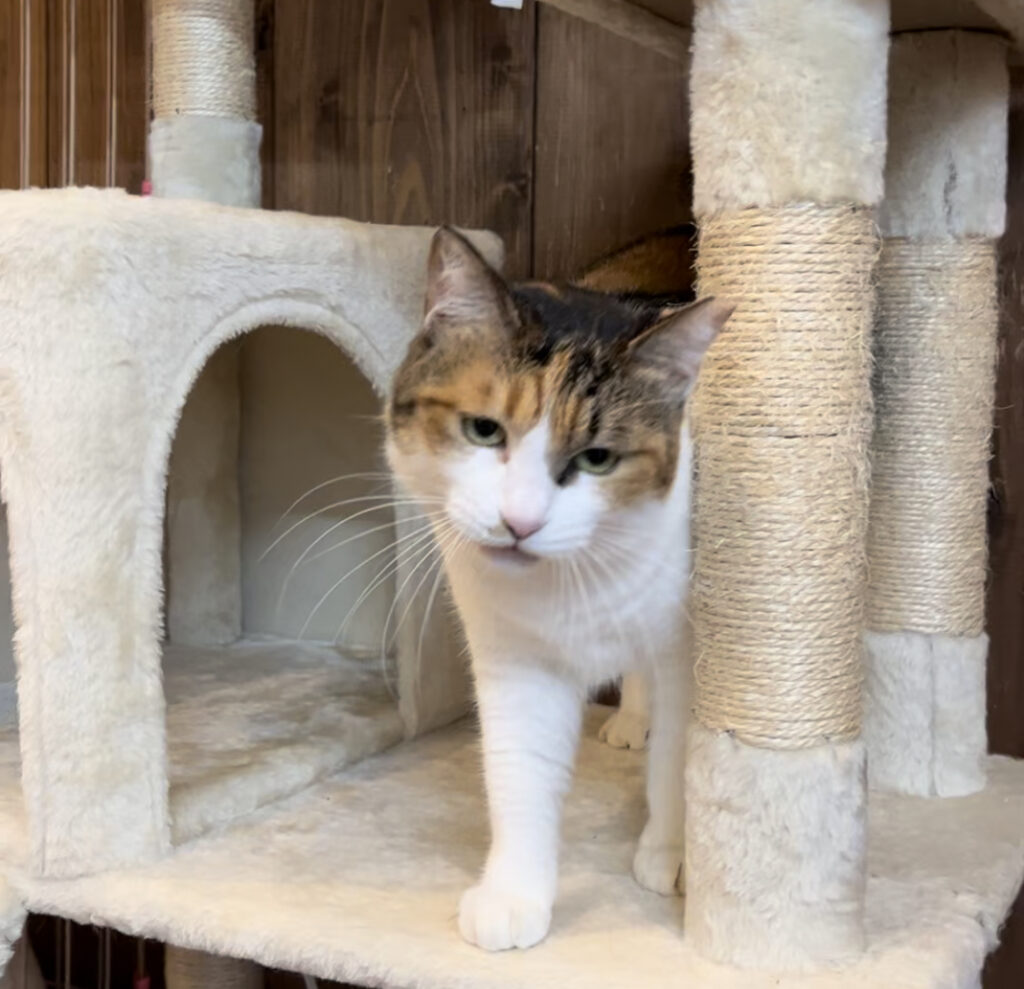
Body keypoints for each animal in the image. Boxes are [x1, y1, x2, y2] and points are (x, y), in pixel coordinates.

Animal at [385, 226, 731, 952]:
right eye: (483, 429)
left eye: (597, 458)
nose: (520, 522)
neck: (573, 577)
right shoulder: (517, 657)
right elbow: (520, 770)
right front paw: (514, 895)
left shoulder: (687, 651)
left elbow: (680, 761)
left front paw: (672, 855)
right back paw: (630, 720)